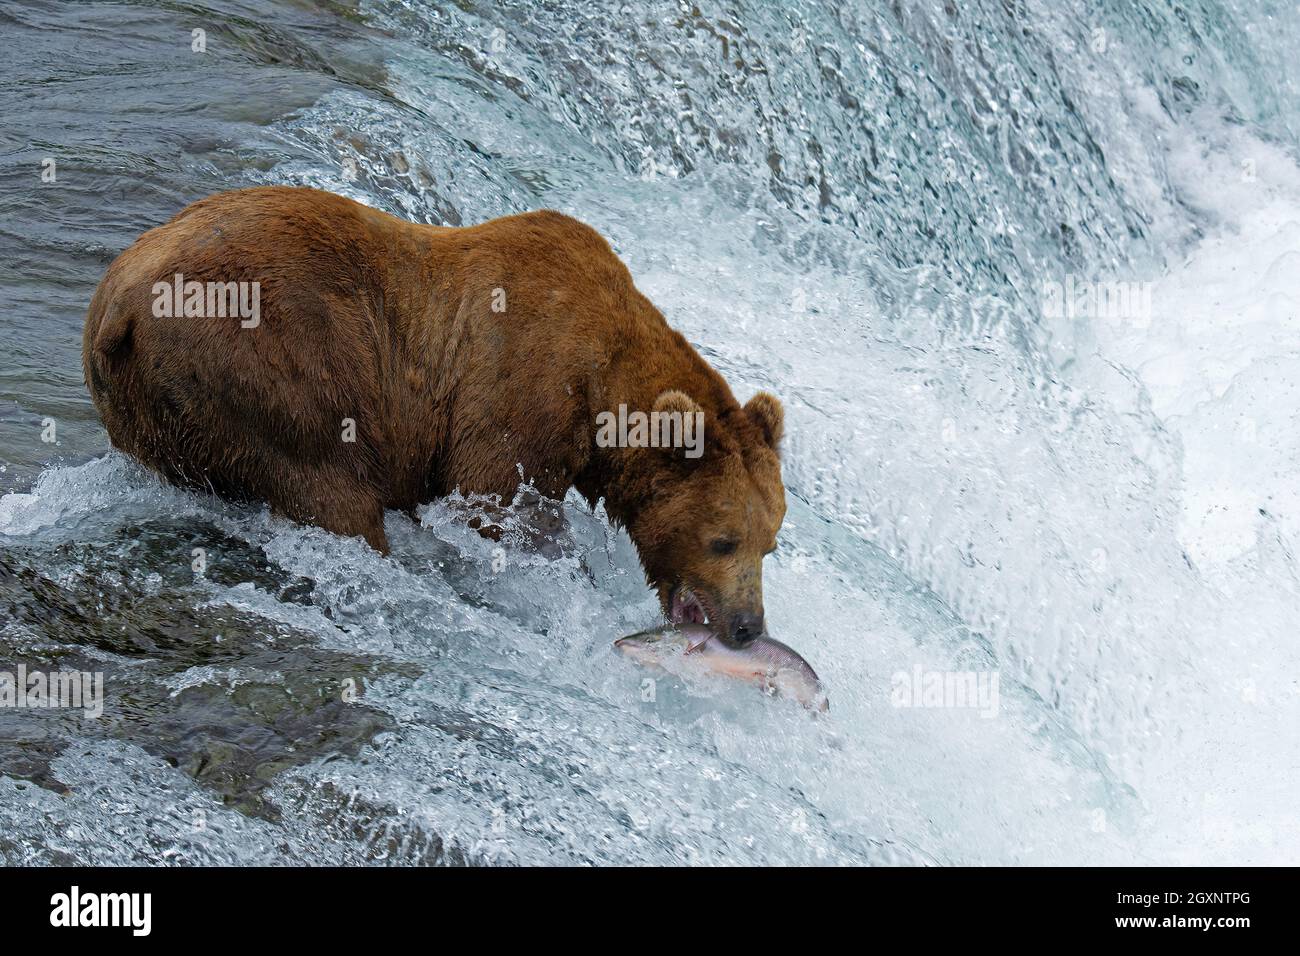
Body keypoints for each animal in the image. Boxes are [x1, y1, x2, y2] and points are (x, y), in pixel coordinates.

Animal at [89, 183, 790, 647]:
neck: (602, 388)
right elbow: (495, 502)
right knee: (330, 486)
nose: (748, 626)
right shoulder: (519, 384)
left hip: (151, 412)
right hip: (267, 356)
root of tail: (120, 302)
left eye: (770, 541)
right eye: (723, 538)